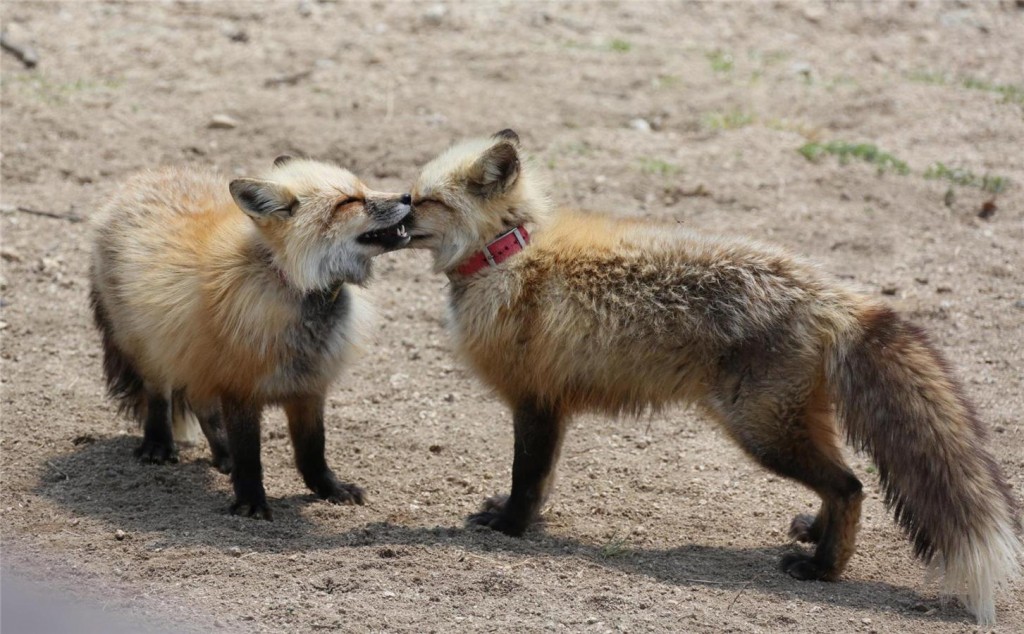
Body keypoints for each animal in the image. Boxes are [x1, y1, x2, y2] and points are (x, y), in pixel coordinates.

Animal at [87, 156, 407, 518]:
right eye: (348, 202)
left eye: (365, 187)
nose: (408, 196)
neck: (291, 284)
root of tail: (145, 177)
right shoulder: (239, 387)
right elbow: (249, 456)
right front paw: (251, 502)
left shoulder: (309, 386)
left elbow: (312, 451)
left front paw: (329, 489)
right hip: (151, 347)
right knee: (160, 396)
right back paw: (158, 444)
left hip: (196, 357)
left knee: (202, 406)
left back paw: (222, 455)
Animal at [403, 130, 1019, 626]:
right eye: (409, 197)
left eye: (424, 202)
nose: (393, 215)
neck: (509, 257)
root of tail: (830, 295)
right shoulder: (553, 404)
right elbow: (543, 481)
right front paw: (526, 521)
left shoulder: (533, 399)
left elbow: (526, 479)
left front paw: (510, 526)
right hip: (789, 425)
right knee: (839, 483)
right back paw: (816, 536)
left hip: (761, 433)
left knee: (849, 486)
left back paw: (824, 568)